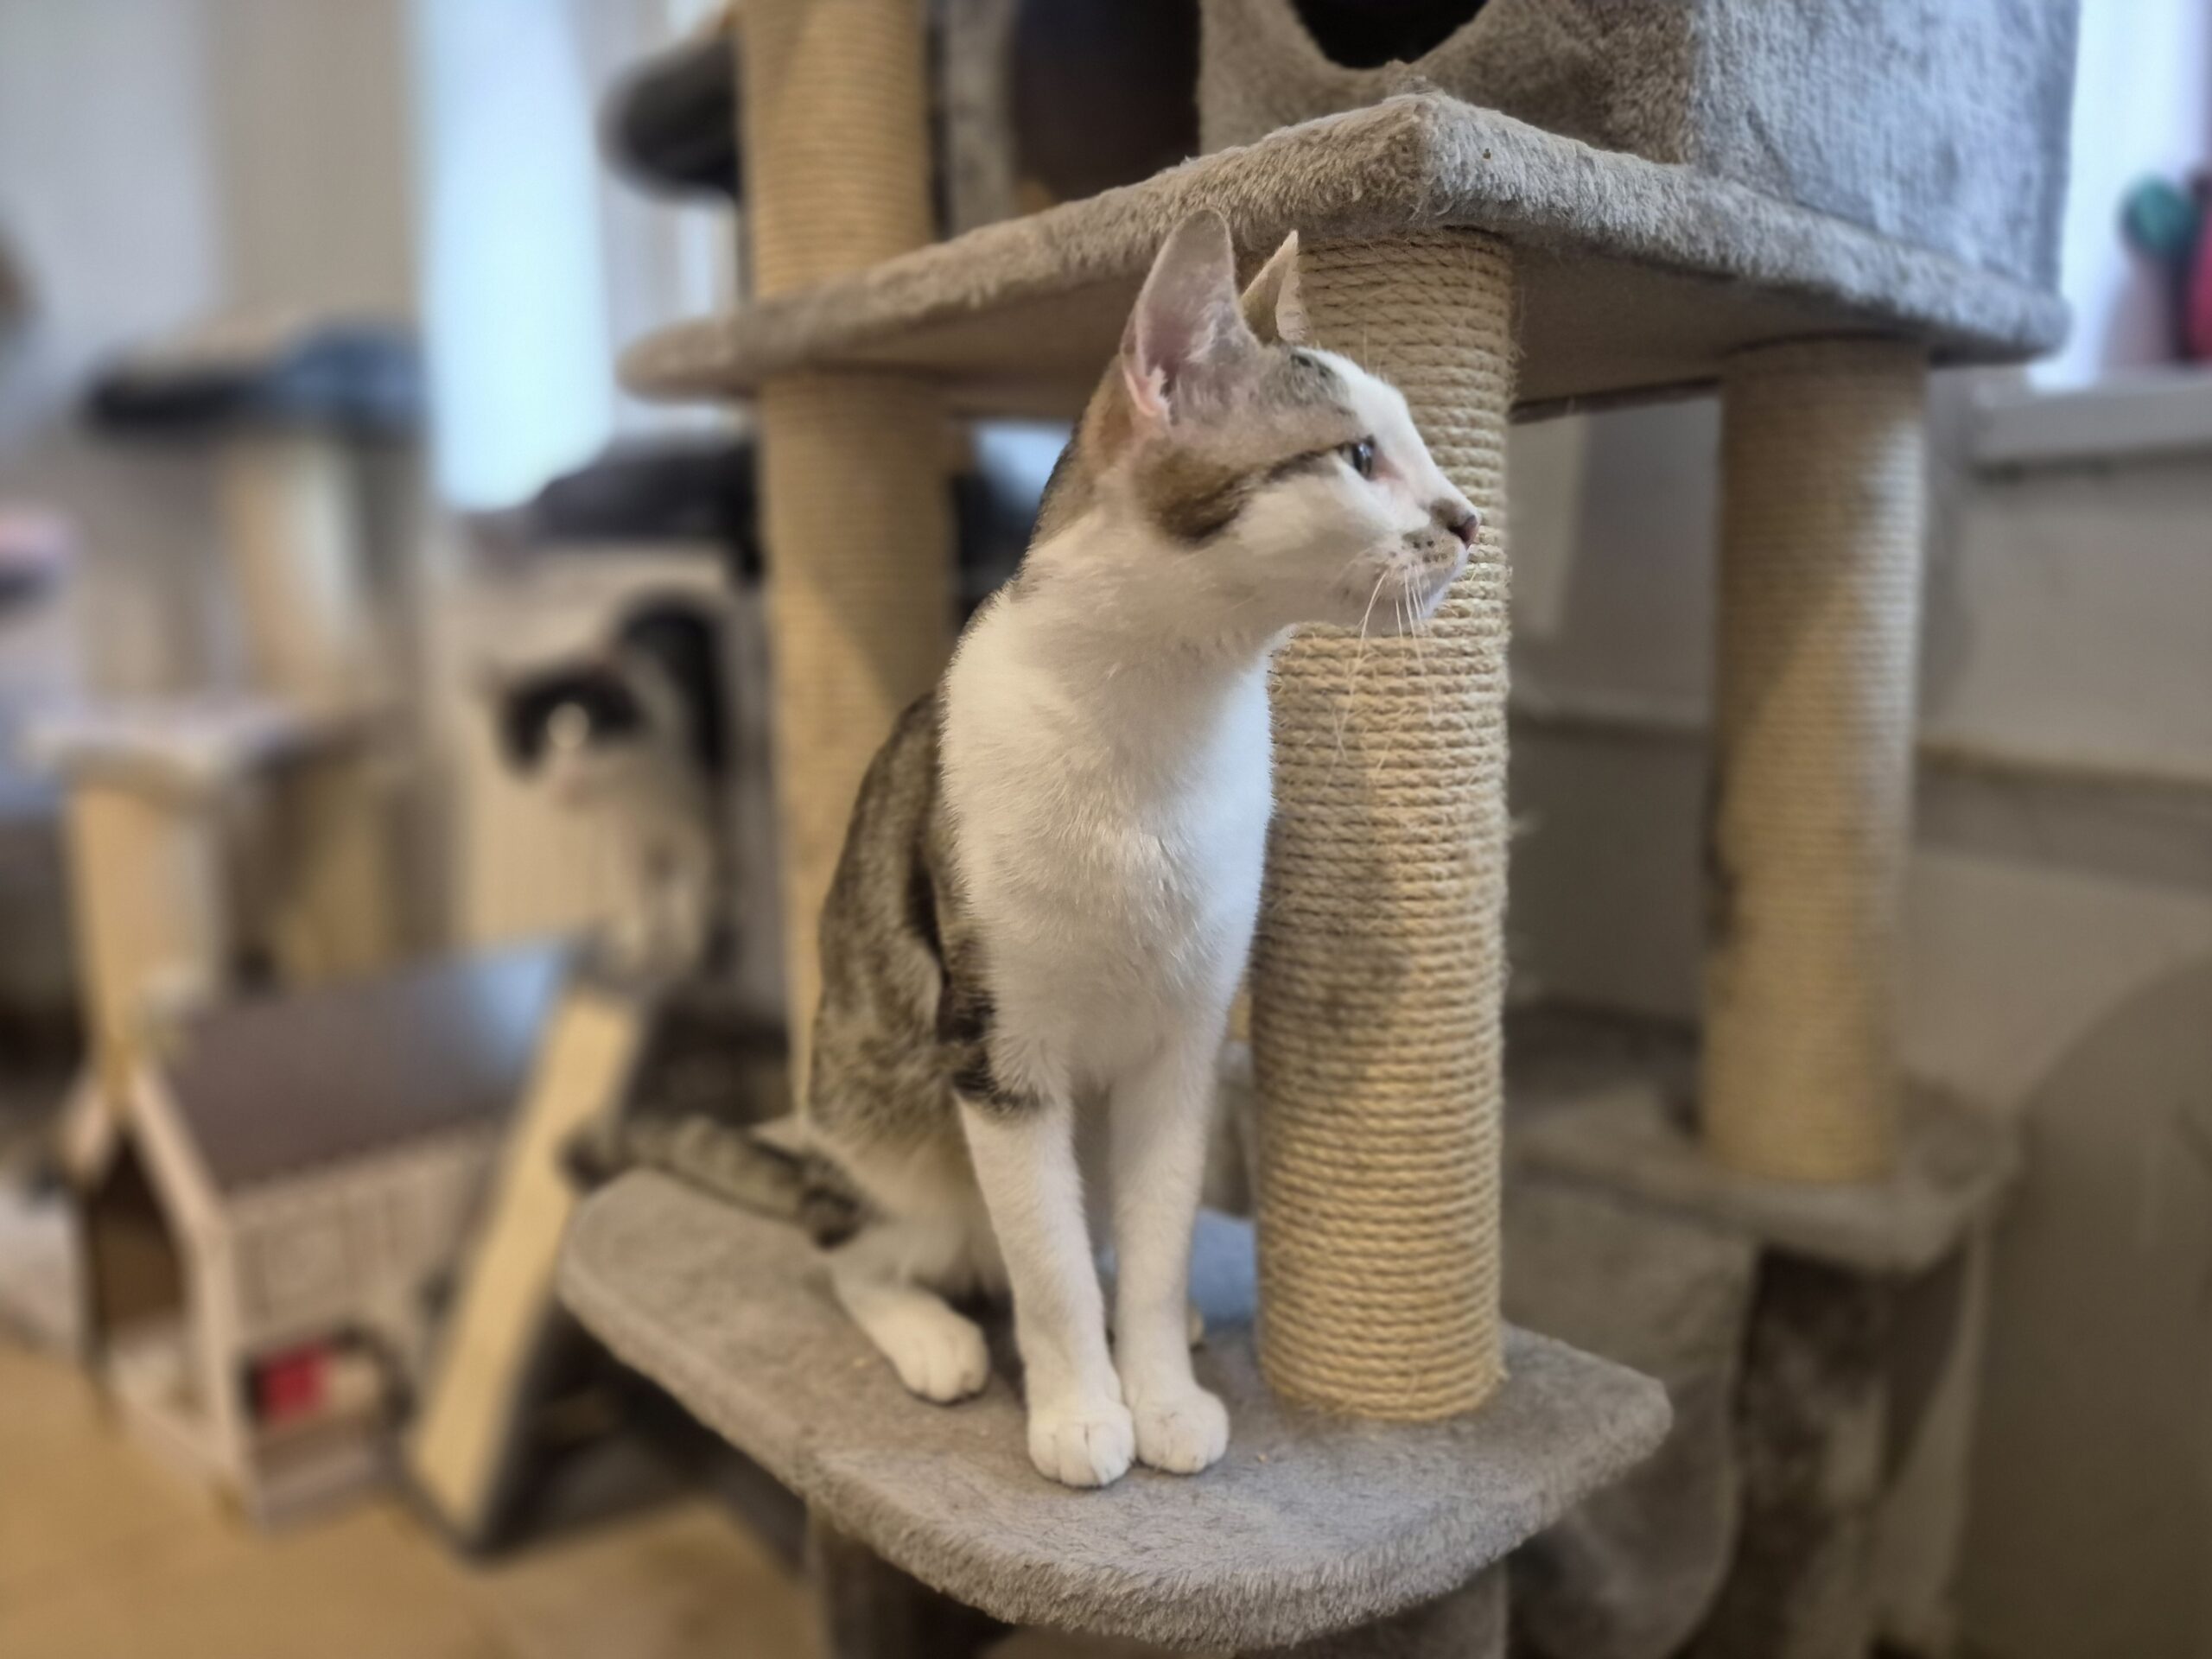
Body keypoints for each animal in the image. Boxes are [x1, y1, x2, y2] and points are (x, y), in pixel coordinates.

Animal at [494, 599, 731, 980]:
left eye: (591, 732)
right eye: (535, 747)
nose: (569, 783)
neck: (635, 785)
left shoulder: (703, 817)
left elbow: (693, 881)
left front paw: (688, 947)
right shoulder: (623, 830)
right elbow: (638, 886)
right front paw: (638, 942)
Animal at [603, 209, 1476, 1488]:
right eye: (1359, 456)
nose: (1468, 519)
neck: (1163, 723)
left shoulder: (1183, 1046)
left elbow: (1155, 1249)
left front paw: (1158, 1391)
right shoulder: (996, 1053)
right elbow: (1051, 1271)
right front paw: (1079, 1411)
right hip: (889, 1127)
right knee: (860, 1251)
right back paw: (935, 1334)